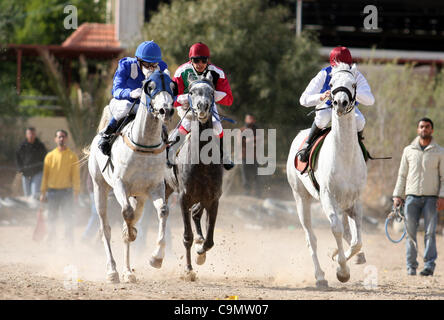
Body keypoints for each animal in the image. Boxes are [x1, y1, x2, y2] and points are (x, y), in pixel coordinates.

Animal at [87, 70, 176, 282]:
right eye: (150, 86)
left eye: (172, 86)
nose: (166, 110)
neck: (145, 144)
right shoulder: (120, 185)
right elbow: (126, 214)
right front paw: (132, 234)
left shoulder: (155, 187)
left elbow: (163, 211)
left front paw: (156, 258)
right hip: (100, 189)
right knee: (105, 228)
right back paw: (112, 271)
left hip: (140, 197)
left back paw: (128, 271)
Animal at [286, 62, 366, 288]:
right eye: (330, 84)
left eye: (354, 84)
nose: (339, 102)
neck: (344, 155)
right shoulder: (328, 198)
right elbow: (336, 230)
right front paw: (342, 271)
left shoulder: (355, 201)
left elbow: (356, 241)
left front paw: (339, 256)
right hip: (301, 199)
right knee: (311, 237)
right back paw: (320, 277)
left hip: (342, 205)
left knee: (348, 234)